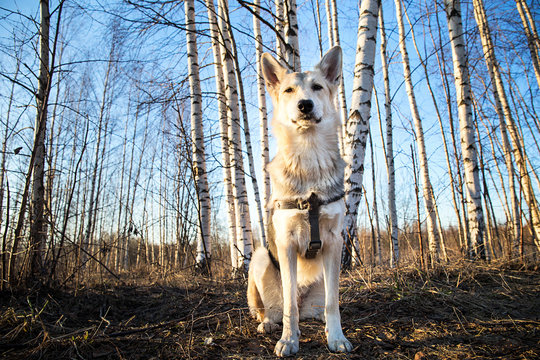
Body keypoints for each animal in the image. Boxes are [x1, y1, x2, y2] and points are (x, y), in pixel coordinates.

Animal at [247, 47, 352, 358]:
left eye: (317, 87)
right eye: (289, 90)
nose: (305, 105)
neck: (309, 157)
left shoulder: (334, 241)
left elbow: (333, 303)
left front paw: (337, 337)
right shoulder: (286, 243)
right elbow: (289, 305)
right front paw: (289, 340)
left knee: (319, 305)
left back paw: (321, 322)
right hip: (259, 258)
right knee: (275, 308)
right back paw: (269, 322)